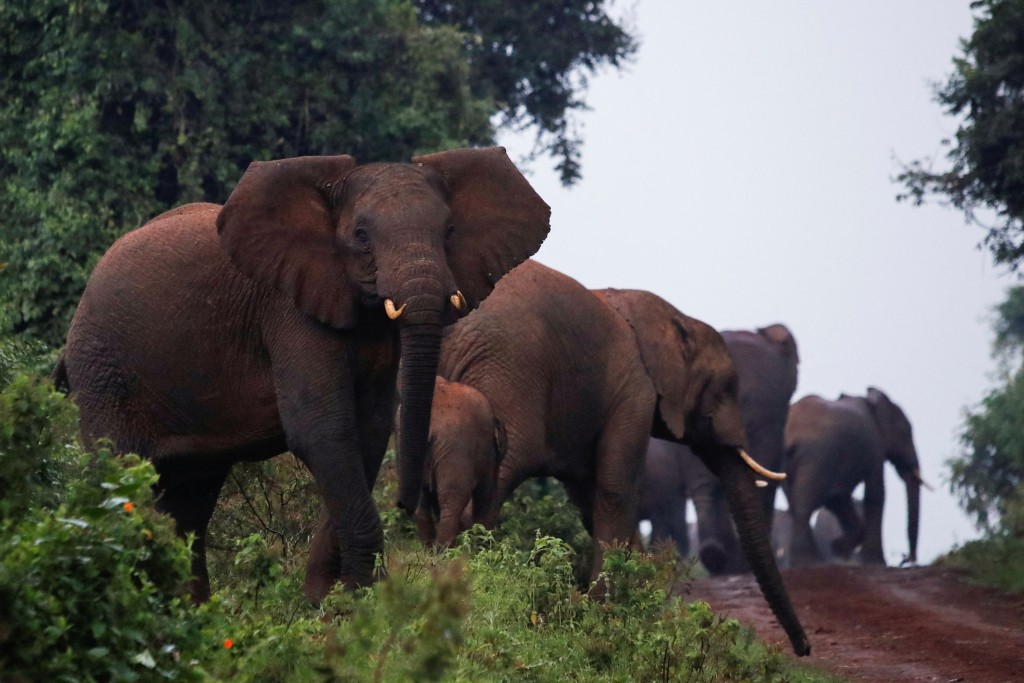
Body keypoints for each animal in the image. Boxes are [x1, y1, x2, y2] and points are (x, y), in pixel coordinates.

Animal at [403, 376, 507, 548]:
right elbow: (485, 496)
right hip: (455, 445)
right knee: (453, 499)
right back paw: (444, 550)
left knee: (422, 500)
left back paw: (429, 549)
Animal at [782, 387, 929, 569]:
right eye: (906, 433)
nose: (907, 560)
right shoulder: (874, 445)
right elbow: (875, 494)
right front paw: (877, 564)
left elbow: (838, 499)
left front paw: (839, 552)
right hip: (817, 455)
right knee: (805, 504)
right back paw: (809, 562)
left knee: (797, 504)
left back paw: (806, 563)